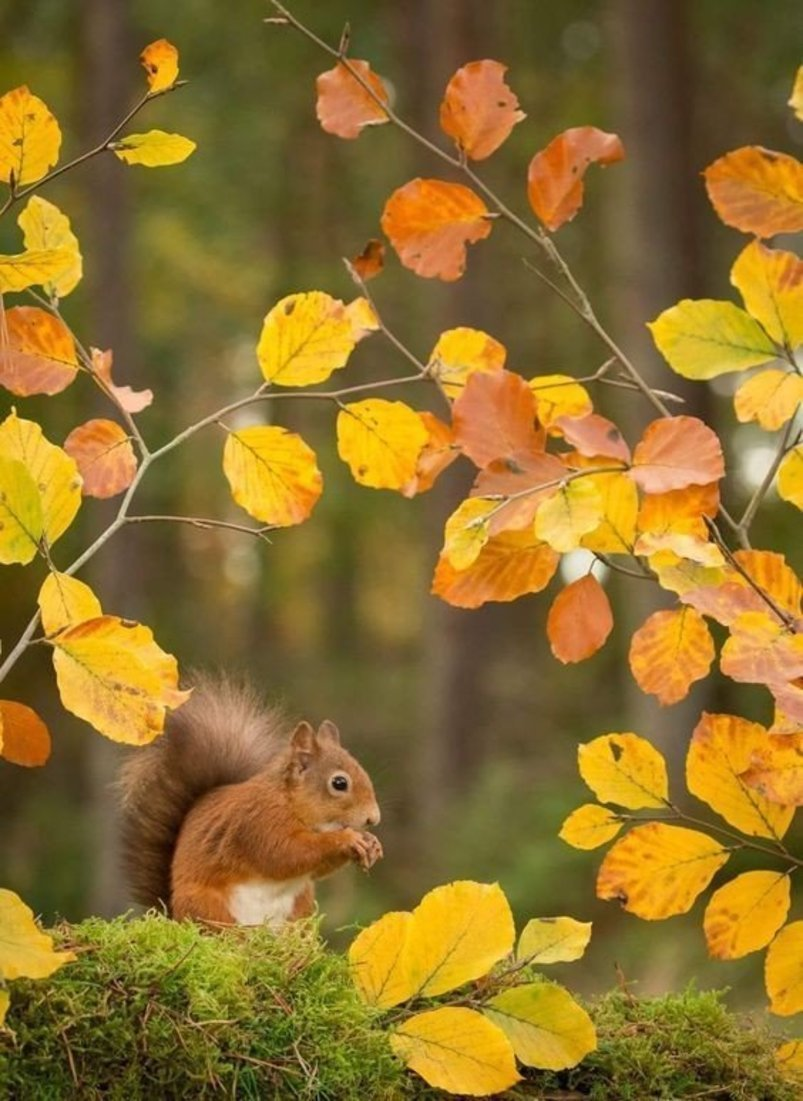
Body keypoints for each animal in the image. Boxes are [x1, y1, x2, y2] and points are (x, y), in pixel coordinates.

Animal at [118, 674, 382, 926]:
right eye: (339, 783)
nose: (374, 818)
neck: (290, 802)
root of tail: (174, 913)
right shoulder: (258, 822)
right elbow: (286, 853)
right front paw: (347, 838)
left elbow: (315, 869)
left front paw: (371, 843)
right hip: (206, 904)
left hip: (301, 904)